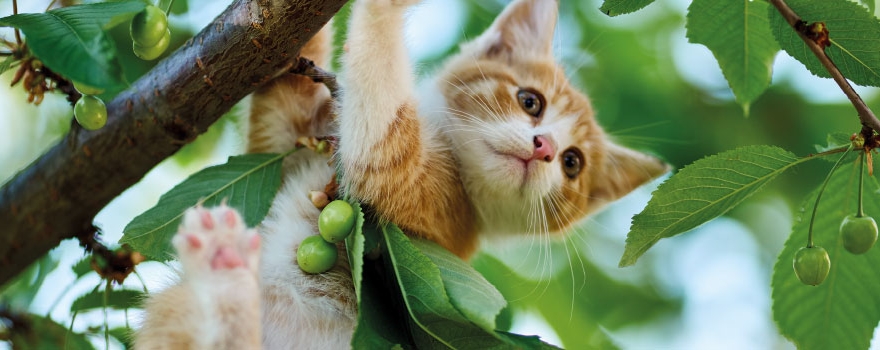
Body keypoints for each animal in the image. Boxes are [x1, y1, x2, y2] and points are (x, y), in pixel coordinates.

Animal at [132, 0, 668, 346]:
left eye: (573, 164)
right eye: (530, 101)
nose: (546, 149)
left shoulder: (436, 212)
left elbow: (379, 125)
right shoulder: (290, 139)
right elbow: (281, 79)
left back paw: (224, 272)